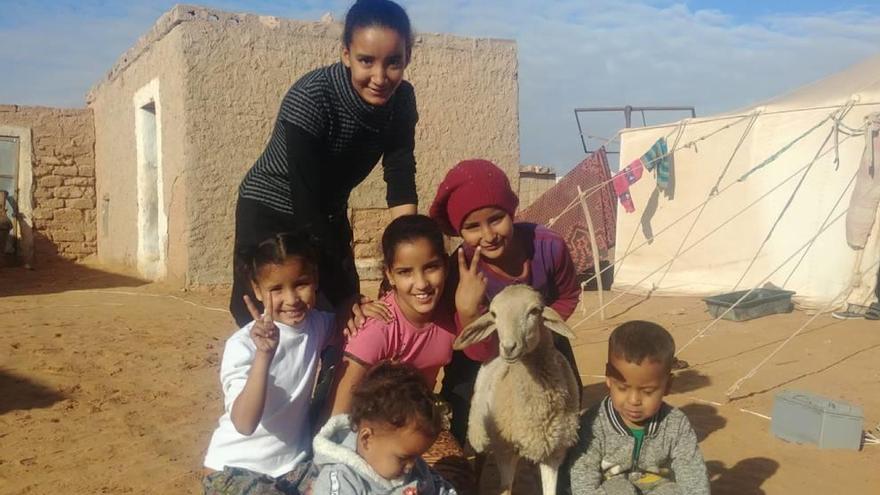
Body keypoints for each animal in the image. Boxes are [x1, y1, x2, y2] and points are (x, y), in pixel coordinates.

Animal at [450, 284, 580, 494]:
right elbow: (506, 489)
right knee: (480, 457)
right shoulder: (505, 450)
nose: (509, 347)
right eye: (494, 314)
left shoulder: (553, 452)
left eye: (534, 311)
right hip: (480, 430)